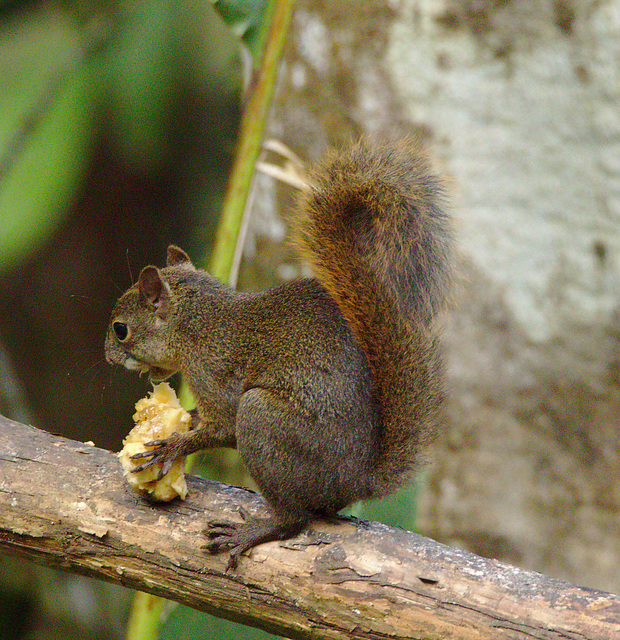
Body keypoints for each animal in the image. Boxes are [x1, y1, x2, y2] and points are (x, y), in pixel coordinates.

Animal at [105, 140, 456, 568]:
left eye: (121, 329)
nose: (107, 355)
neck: (198, 324)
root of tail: (357, 480)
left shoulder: (212, 372)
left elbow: (222, 426)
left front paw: (171, 446)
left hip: (264, 422)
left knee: (294, 518)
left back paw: (254, 531)